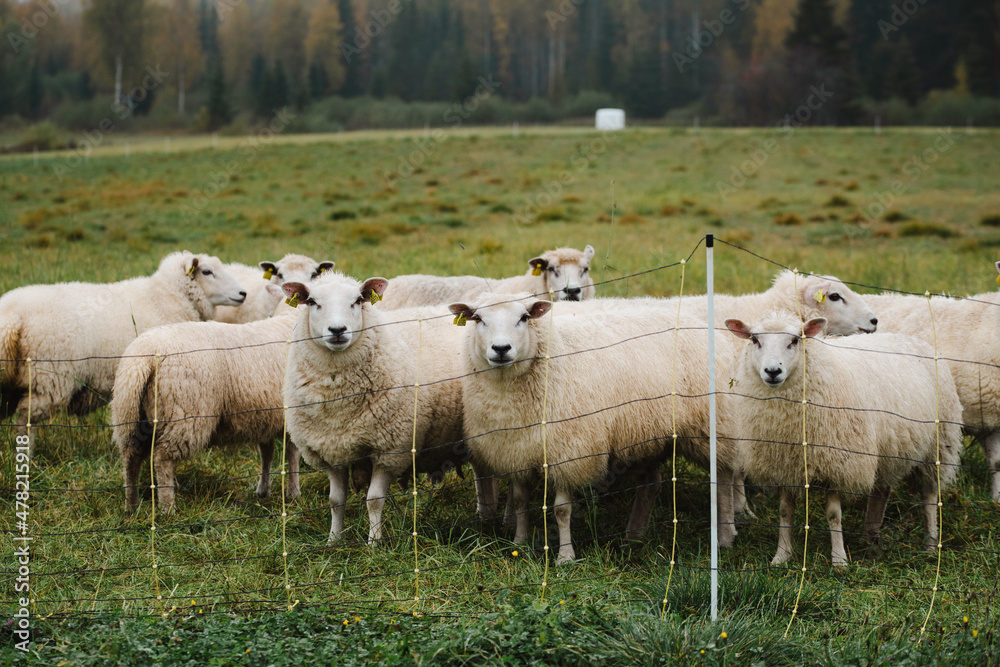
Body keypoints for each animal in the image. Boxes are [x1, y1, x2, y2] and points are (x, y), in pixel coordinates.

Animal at [0, 251, 246, 455]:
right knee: (26, 418)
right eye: (207, 271)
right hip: (49, 377)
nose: (243, 293)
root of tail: (13, 316)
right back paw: (27, 455)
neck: (166, 296)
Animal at [282, 272, 482, 544]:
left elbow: (374, 500)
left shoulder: (390, 449)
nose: (337, 330)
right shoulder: (331, 451)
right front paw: (334, 540)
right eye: (312, 302)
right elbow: (335, 501)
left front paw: (374, 543)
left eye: (357, 301)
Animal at [448, 292, 733, 564]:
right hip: (647, 433)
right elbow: (520, 502)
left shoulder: (569, 451)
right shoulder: (515, 448)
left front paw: (565, 556)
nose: (501, 348)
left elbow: (561, 509)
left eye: (524, 317)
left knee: (724, 478)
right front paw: (519, 543)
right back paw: (634, 536)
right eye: (478, 319)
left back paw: (725, 537)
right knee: (651, 484)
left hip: (710, 428)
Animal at [725, 312, 963, 566]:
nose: (772, 371)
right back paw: (871, 538)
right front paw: (781, 556)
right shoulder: (787, 465)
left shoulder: (840, 464)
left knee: (929, 496)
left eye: (796, 340)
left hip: (938, 445)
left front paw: (839, 560)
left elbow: (833, 515)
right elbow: (785, 511)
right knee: (881, 490)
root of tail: (913, 339)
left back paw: (930, 543)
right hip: (888, 448)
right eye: (754, 339)